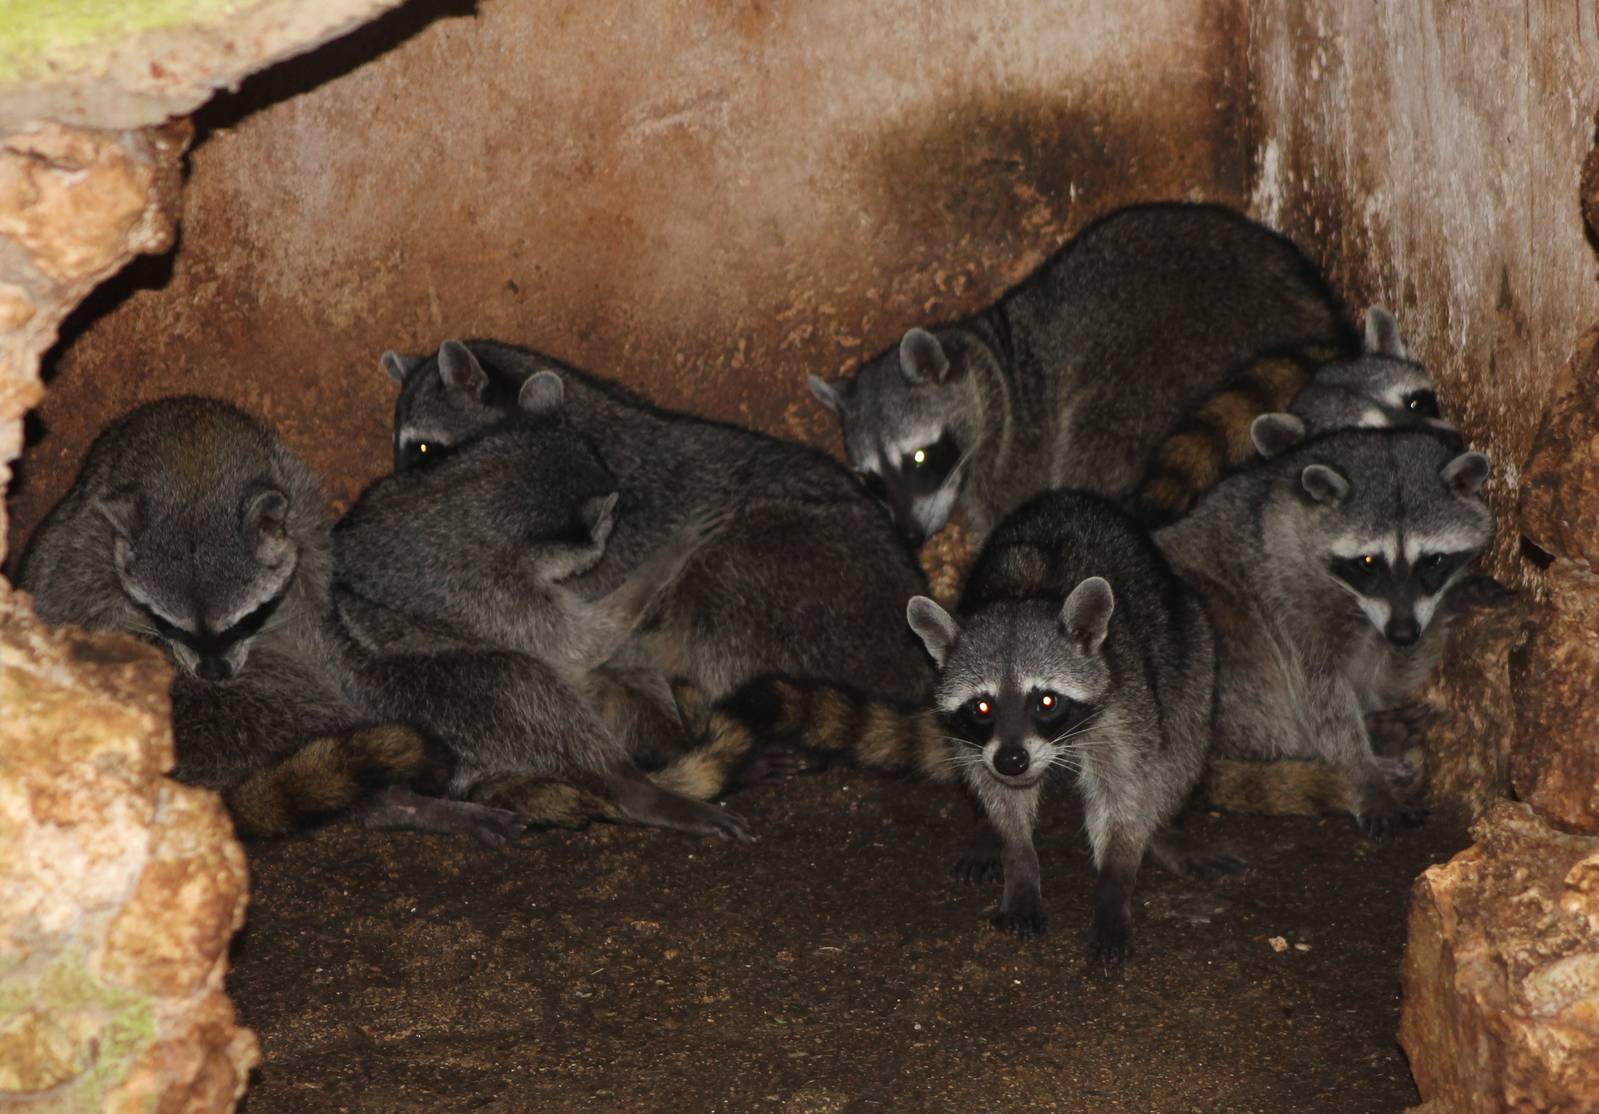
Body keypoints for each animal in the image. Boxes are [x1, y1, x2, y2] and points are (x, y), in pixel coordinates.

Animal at [19, 397, 512, 842]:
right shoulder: (80, 548)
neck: (189, 454)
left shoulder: (303, 516)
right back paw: (390, 801)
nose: (213, 672)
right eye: (170, 624)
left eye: (243, 621)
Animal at [332, 371, 754, 840]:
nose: (617, 523)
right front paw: (664, 559)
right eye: (610, 522)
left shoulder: (394, 487)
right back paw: (634, 787)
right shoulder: (489, 594)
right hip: (423, 692)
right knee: (524, 685)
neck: (477, 490)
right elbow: (580, 641)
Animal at [808, 203, 1358, 545]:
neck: (990, 363)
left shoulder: (1015, 450)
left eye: (921, 457)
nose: (909, 536)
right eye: (872, 481)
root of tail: (1319, 323)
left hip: (1163, 364)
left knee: (1098, 438)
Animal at [1155, 427, 1494, 832]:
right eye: (1369, 562)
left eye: (1434, 561)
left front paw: (1445, 609)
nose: (1404, 635)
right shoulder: (1288, 591)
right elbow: (1319, 693)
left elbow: (1383, 677)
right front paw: (1362, 771)